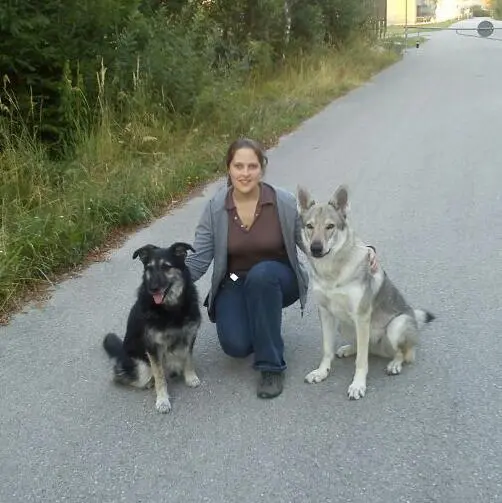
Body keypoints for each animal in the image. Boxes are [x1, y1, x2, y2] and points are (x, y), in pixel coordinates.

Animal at [103, 243, 201, 414]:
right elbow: (160, 376)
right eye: (149, 268)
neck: (169, 308)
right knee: (121, 375)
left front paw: (190, 377)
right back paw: (148, 382)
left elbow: (188, 359)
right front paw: (162, 400)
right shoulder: (153, 347)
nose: (152, 288)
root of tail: (121, 352)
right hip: (141, 367)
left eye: (166, 267)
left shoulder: (189, 336)